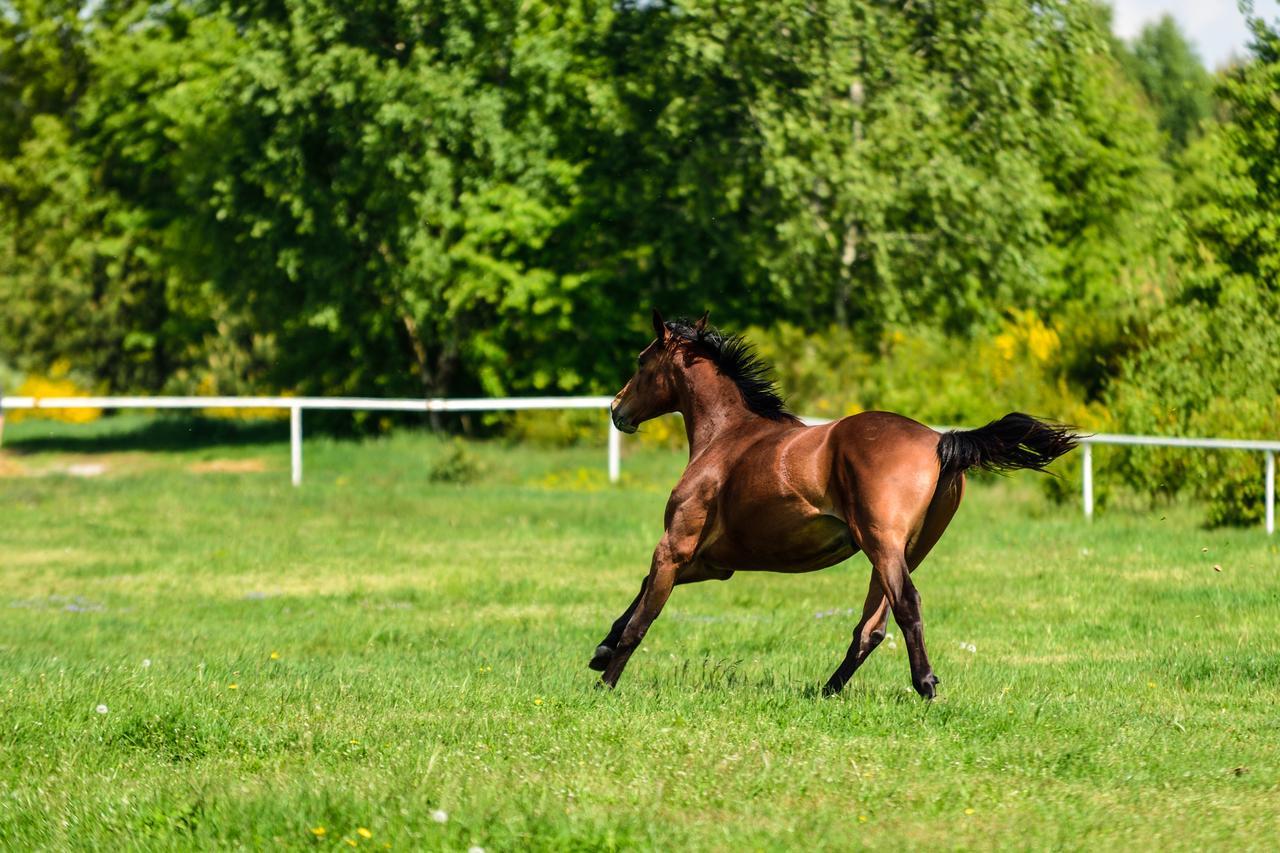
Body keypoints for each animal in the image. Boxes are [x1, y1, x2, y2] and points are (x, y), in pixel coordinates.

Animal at [593, 308, 1075, 696]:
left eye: (641, 360)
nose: (617, 409)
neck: (726, 437)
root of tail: (940, 442)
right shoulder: (712, 562)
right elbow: (642, 591)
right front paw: (600, 652)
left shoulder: (675, 547)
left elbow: (643, 616)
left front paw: (605, 683)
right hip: (905, 550)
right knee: (872, 628)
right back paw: (827, 691)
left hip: (883, 545)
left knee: (905, 606)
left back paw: (924, 686)